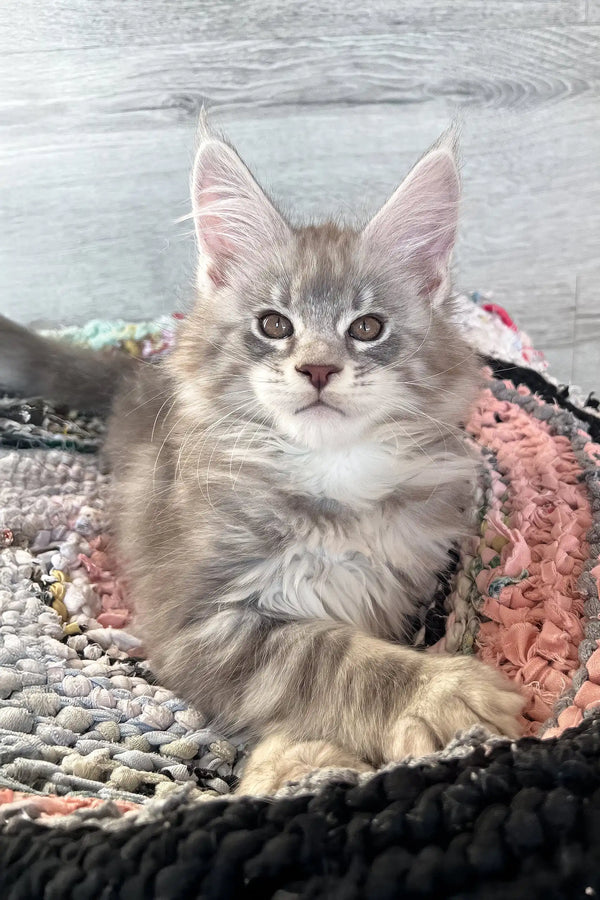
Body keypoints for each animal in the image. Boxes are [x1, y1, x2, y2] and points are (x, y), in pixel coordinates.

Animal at [0, 119, 520, 796]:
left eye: (367, 328)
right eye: (274, 325)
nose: (318, 368)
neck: (331, 479)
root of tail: (135, 375)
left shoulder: (394, 590)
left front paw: (300, 758)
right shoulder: (201, 623)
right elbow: (326, 656)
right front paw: (442, 694)